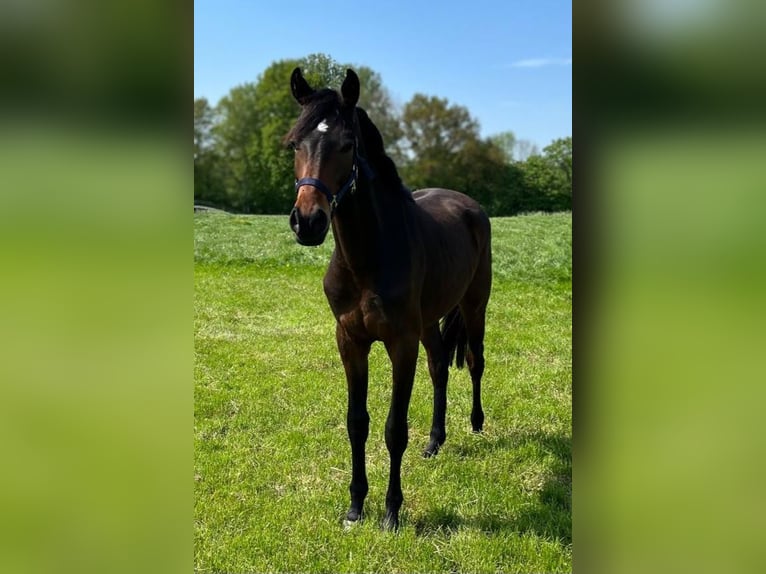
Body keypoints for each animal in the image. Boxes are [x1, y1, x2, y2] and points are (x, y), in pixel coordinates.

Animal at [285, 67, 492, 531]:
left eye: (347, 144)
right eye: (294, 144)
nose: (308, 222)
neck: (368, 257)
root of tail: (470, 205)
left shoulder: (401, 343)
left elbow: (394, 428)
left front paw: (392, 512)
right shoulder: (351, 341)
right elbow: (356, 422)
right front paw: (355, 506)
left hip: (474, 305)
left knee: (474, 360)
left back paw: (476, 423)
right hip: (429, 322)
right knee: (439, 367)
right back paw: (435, 442)